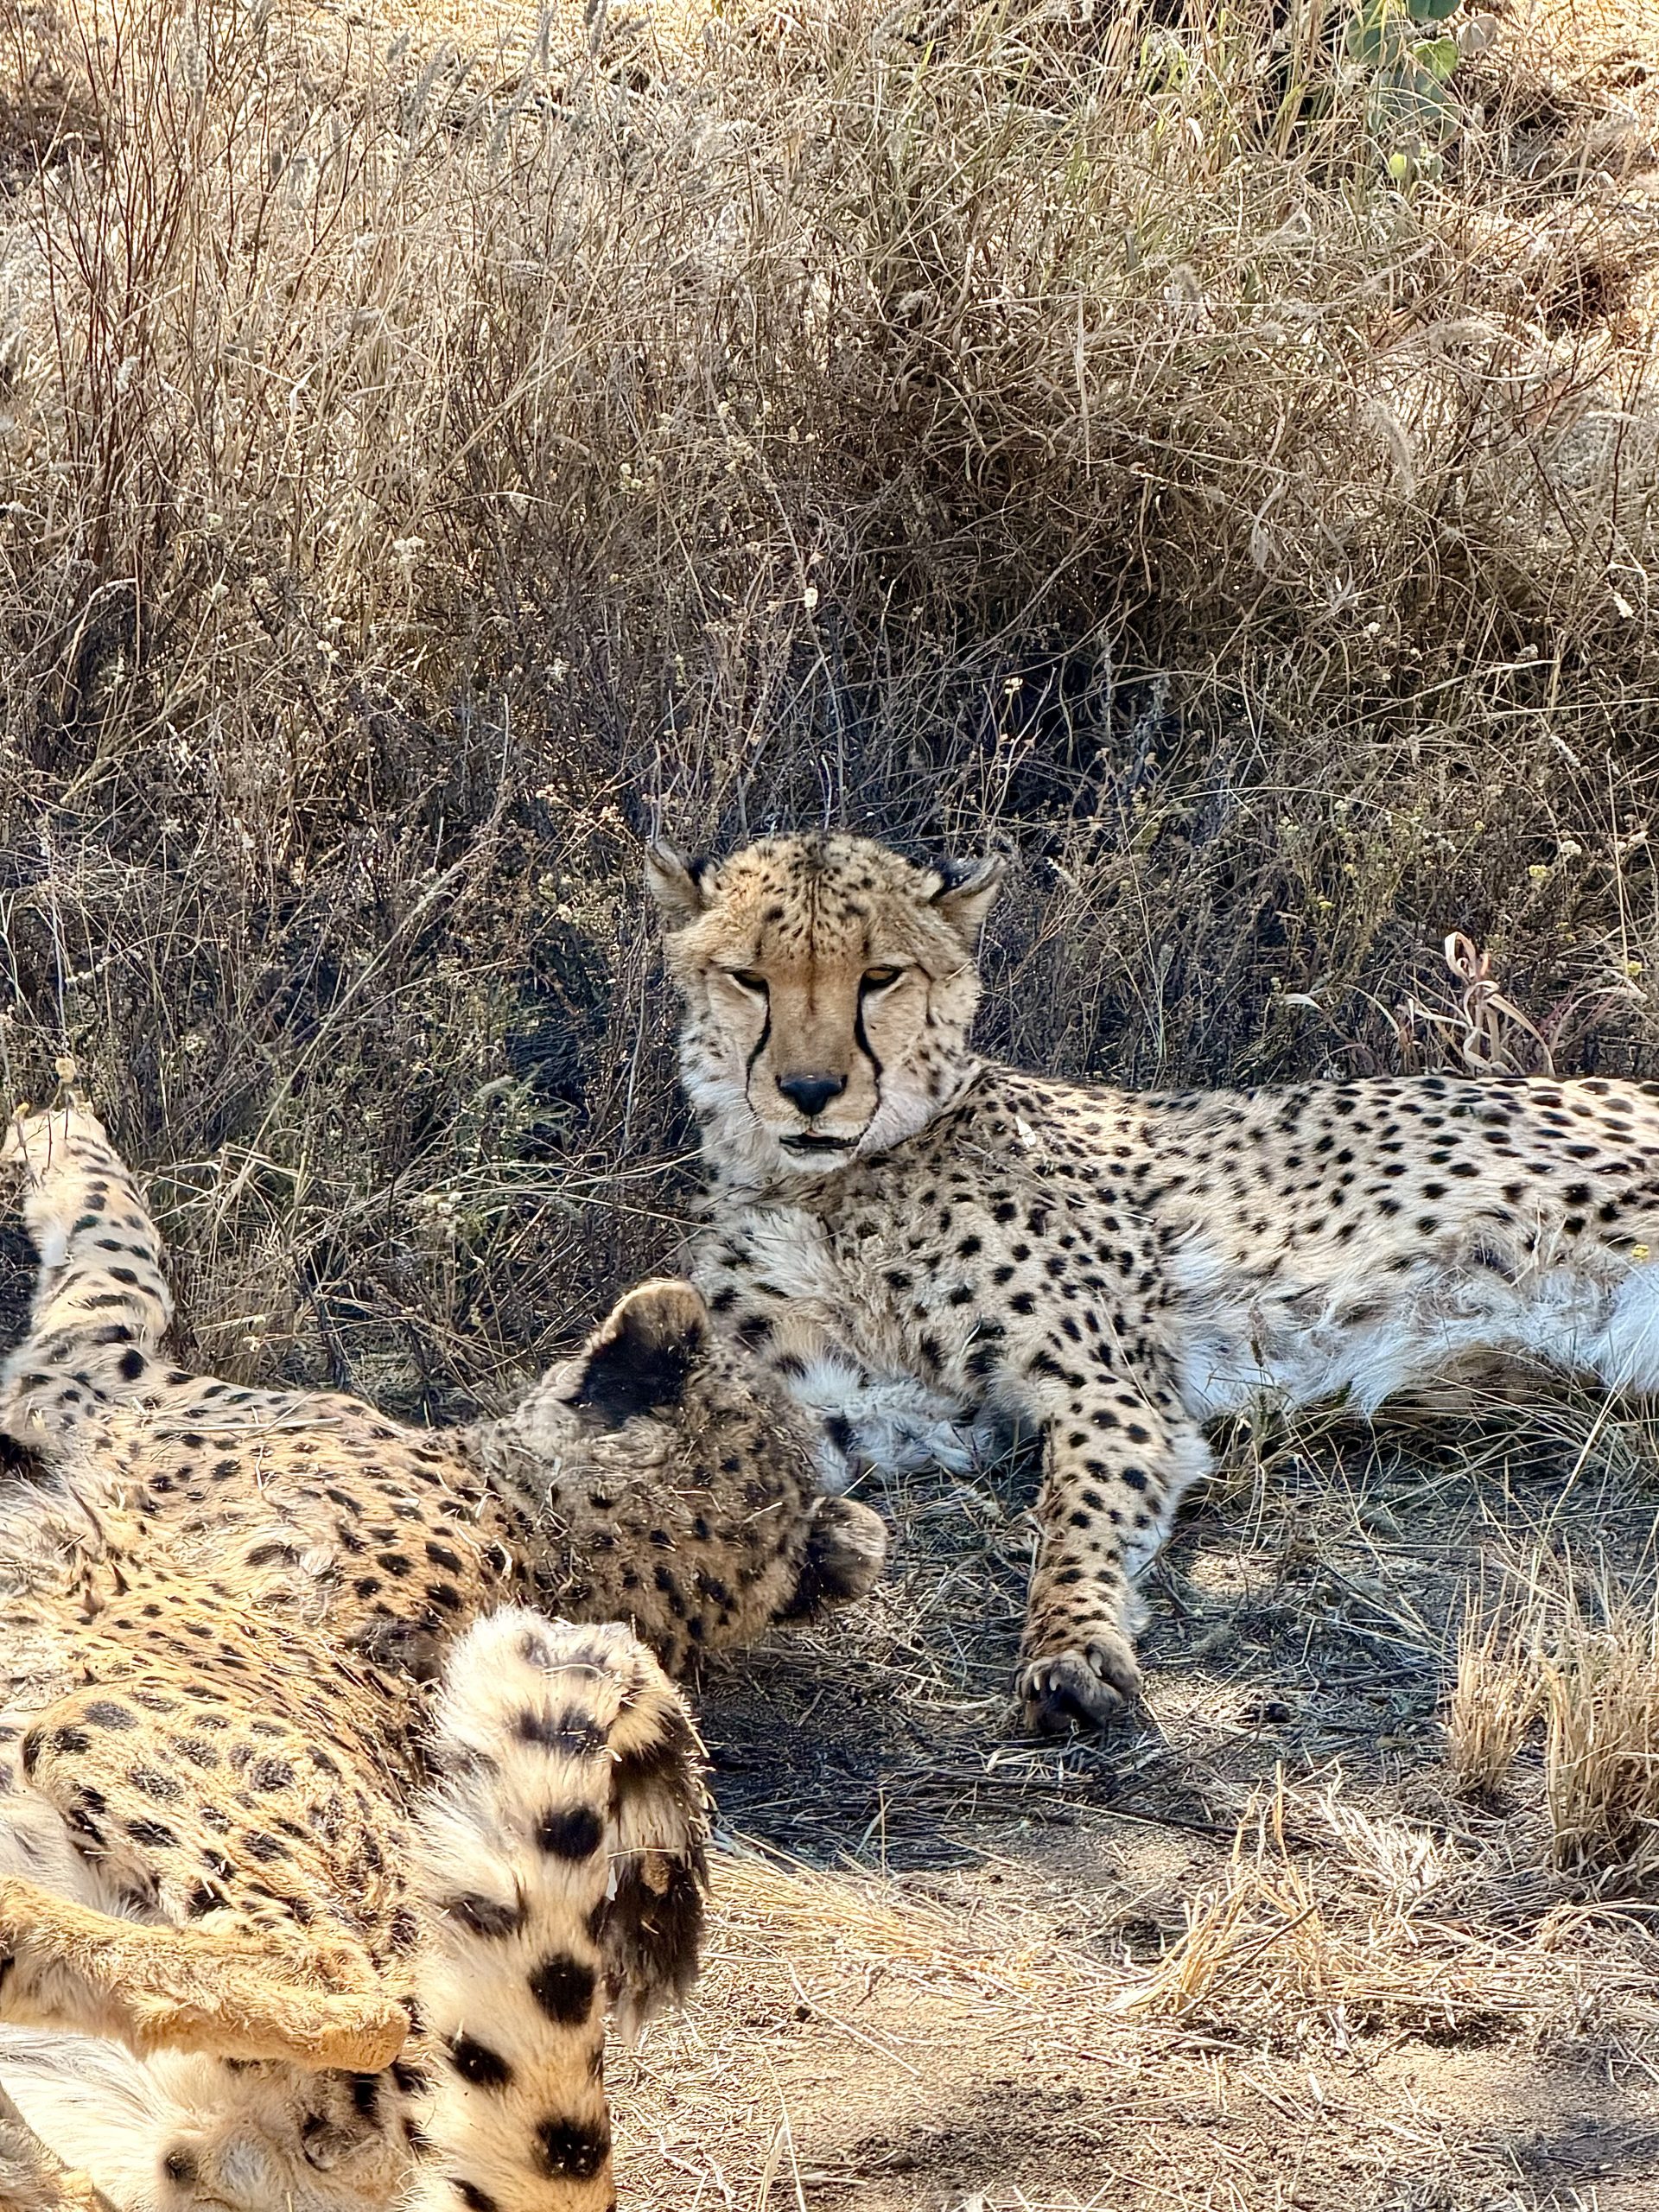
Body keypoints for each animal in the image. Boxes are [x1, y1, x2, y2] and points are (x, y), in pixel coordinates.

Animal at [0, 1103, 886, 2211]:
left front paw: (52, 1133)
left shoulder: (91, 1370)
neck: (557, 1537)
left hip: (89, 1729)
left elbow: (115, 1260)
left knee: (326, 1975)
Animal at [649, 828, 1659, 1737]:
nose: (810, 1091)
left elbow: (1078, 1511)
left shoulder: (1108, 1388)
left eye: (880, 977)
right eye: (750, 978)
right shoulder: (894, 1409)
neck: (821, 1184)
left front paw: (1071, 1645)